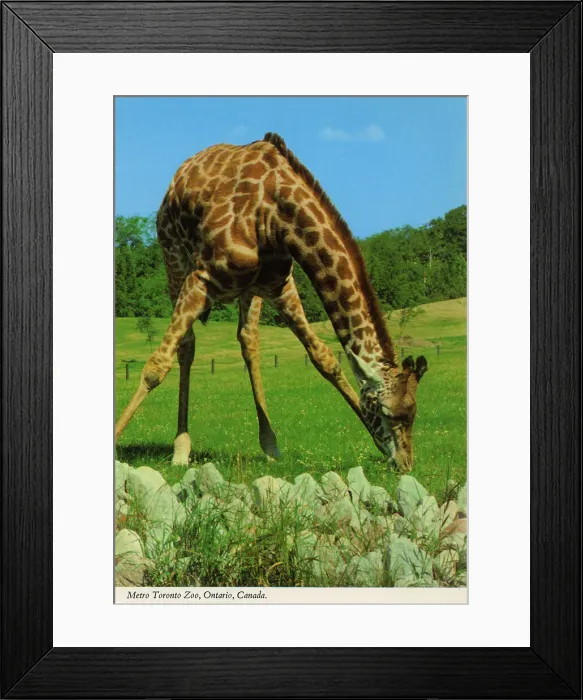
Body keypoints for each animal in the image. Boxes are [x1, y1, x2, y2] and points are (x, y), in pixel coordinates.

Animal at [115, 133, 428, 472]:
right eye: (388, 413)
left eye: (413, 413)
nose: (405, 463)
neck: (276, 215)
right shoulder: (202, 277)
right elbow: (156, 366)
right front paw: (116, 439)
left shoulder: (280, 287)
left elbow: (325, 359)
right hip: (172, 253)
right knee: (187, 345)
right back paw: (181, 448)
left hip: (248, 291)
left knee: (248, 342)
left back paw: (269, 443)